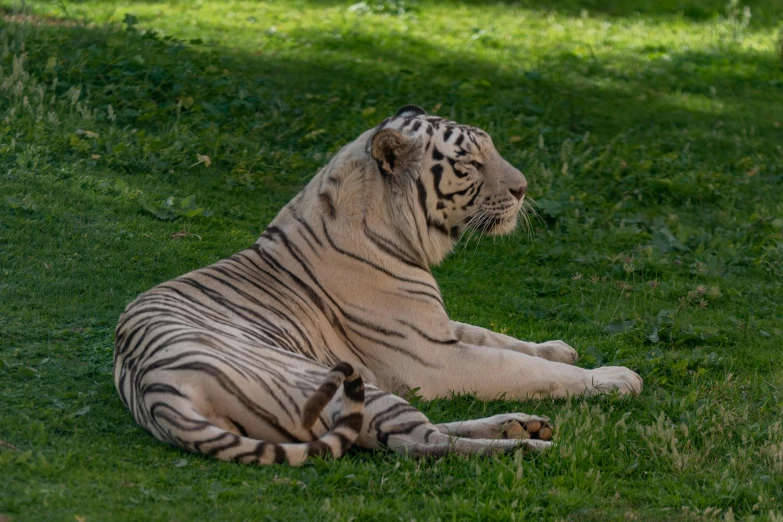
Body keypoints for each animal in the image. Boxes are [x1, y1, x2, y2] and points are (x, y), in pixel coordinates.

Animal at [116, 105, 644, 464]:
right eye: (470, 164)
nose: (523, 189)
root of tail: (157, 391)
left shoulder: (438, 327)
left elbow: (499, 337)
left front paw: (560, 347)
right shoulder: (433, 358)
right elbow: (522, 368)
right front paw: (614, 377)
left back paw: (523, 426)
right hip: (343, 384)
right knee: (419, 442)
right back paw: (526, 447)